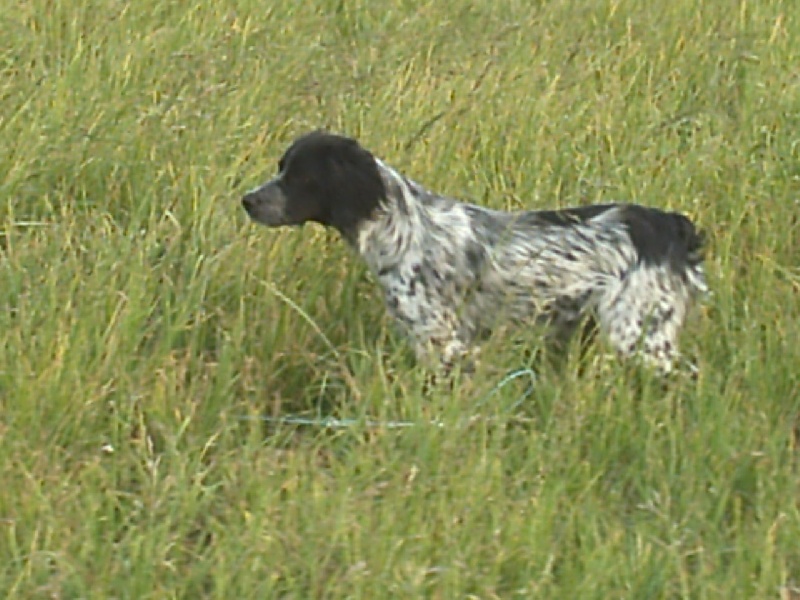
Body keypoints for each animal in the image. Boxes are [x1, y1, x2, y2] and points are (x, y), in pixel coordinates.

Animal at [241, 132, 704, 376]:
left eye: (300, 176)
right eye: (281, 167)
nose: (247, 200)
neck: (404, 230)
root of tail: (669, 224)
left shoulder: (442, 343)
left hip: (641, 336)